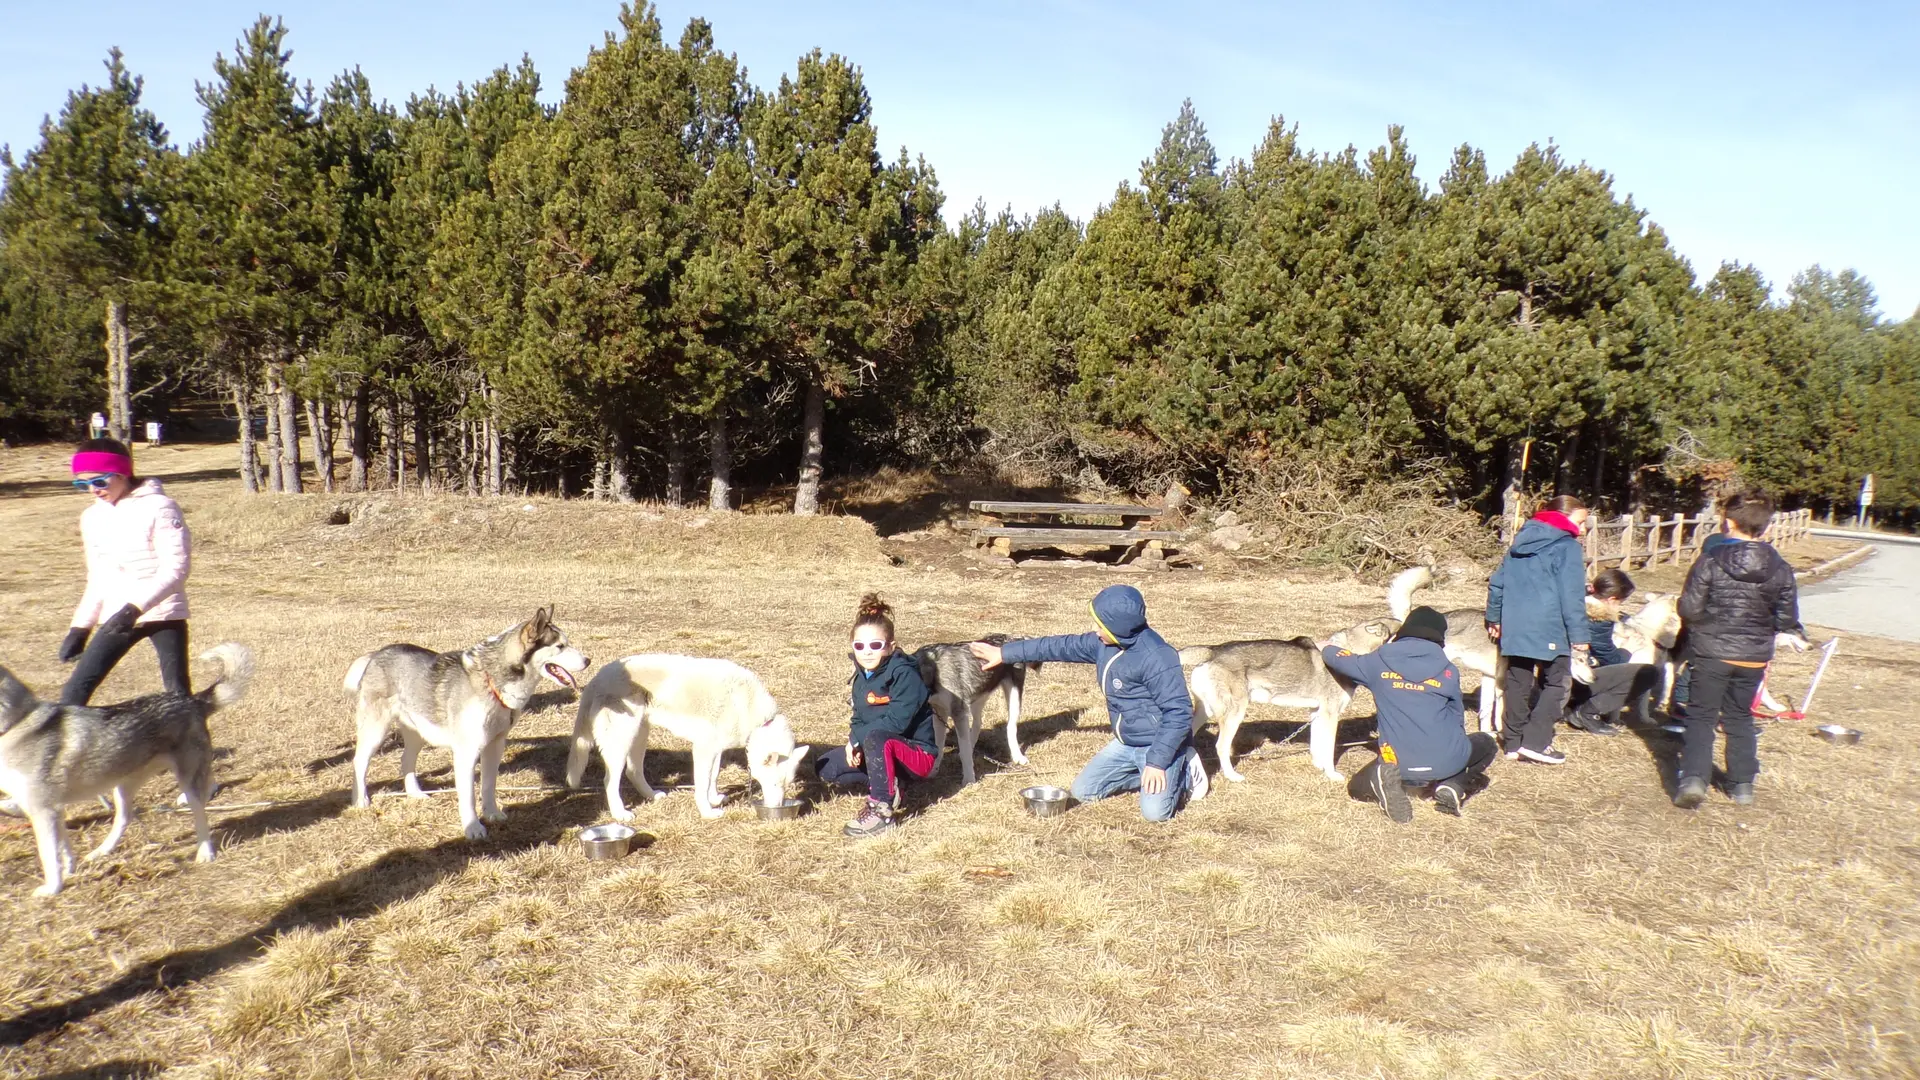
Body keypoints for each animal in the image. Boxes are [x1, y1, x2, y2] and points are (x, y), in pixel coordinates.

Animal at [0, 641, 251, 895]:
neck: (16, 723)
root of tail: (190, 701)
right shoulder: (53, 810)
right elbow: (64, 849)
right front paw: (70, 871)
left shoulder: (43, 811)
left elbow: (49, 856)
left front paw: (52, 888)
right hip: (121, 787)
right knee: (125, 818)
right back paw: (102, 851)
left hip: (187, 782)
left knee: (200, 813)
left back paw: (205, 852)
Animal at [345, 607, 583, 841]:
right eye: (560, 646)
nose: (587, 660)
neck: (492, 681)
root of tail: (377, 653)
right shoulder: (466, 752)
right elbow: (468, 796)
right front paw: (473, 828)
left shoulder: (494, 746)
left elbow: (488, 785)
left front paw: (492, 814)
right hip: (377, 731)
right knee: (359, 761)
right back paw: (360, 800)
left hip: (418, 731)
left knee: (406, 760)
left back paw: (415, 794)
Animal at [568, 653, 810, 818]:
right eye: (775, 783)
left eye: (787, 784)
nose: (777, 808)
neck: (757, 717)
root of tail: (597, 678)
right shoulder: (703, 748)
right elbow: (702, 784)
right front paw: (708, 812)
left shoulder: (715, 749)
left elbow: (713, 777)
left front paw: (714, 799)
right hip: (622, 739)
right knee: (610, 780)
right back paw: (620, 814)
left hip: (639, 733)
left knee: (633, 771)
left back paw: (652, 796)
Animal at [910, 626, 1036, 776]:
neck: (931, 669)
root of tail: (1011, 637)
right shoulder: (940, 713)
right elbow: (939, 746)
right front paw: (933, 771)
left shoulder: (958, 713)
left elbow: (964, 752)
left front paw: (969, 778)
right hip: (978, 697)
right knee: (978, 723)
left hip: (1013, 697)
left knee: (1010, 726)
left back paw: (1017, 756)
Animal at [1175, 630, 1359, 780]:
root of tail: (1212, 650)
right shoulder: (1331, 715)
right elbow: (1329, 750)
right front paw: (1332, 774)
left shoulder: (1316, 713)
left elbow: (1316, 745)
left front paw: (1318, 766)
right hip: (1235, 715)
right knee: (1221, 746)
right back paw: (1232, 776)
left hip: (1205, 712)